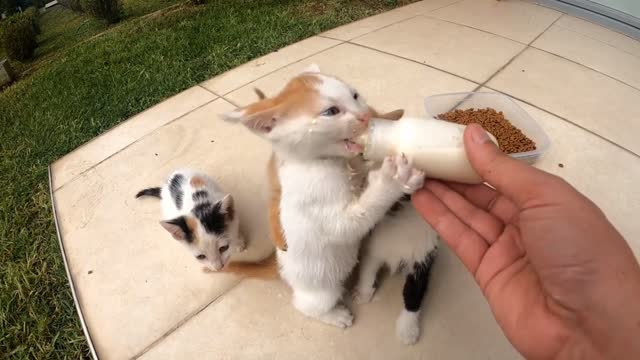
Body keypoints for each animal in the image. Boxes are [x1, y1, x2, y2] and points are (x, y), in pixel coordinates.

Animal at [222, 63, 428, 328]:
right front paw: (394, 179)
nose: (366, 116)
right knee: (306, 306)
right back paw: (335, 315)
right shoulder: (322, 206)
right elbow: (353, 220)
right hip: (320, 290)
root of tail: (280, 269)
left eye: (355, 95)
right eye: (331, 111)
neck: (331, 161)